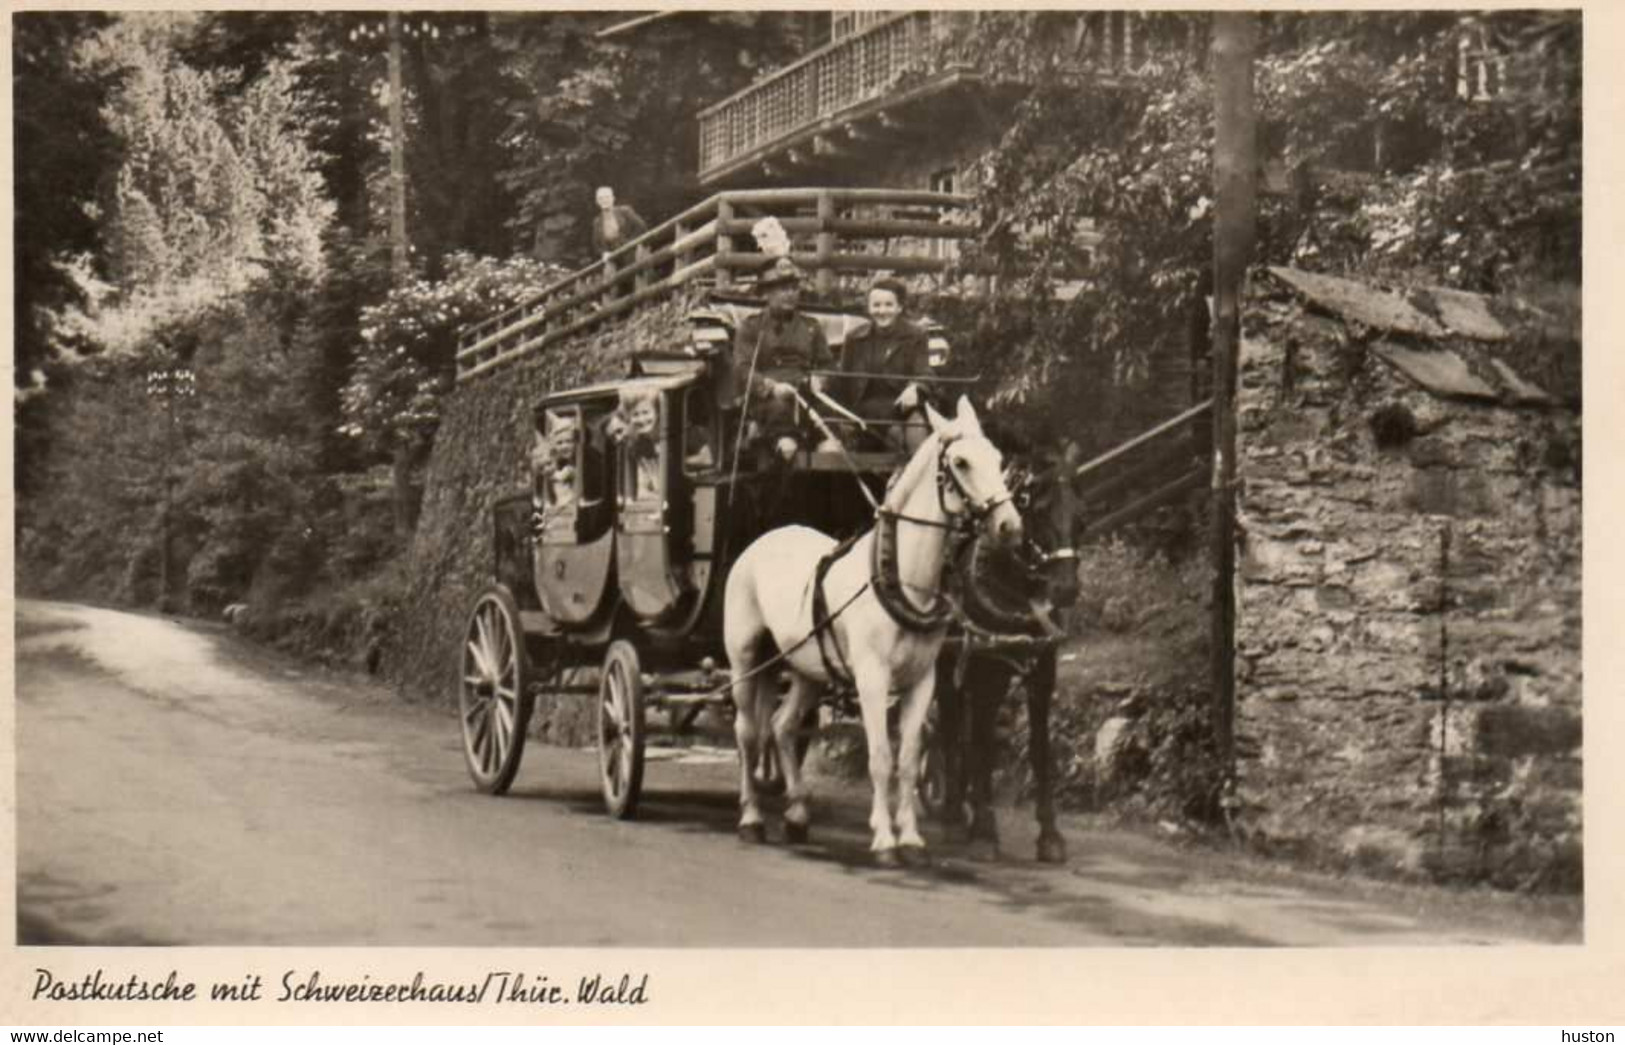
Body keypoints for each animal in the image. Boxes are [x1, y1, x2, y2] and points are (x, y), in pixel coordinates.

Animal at [721, 396, 1014, 864]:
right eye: (961, 462)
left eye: (998, 458)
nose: (1010, 526)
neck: (901, 580)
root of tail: (764, 540)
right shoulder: (872, 679)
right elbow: (880, 756)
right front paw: (884, 840)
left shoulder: (921, 681)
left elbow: (908, 759)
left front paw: (910, 837)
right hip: (745, 659)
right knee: (748, 734)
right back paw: (750, 818)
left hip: (805, 668)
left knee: (782, 727)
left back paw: (797, 814)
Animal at [936, 438, 1085, 858]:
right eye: (1040, 511)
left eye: (1080, 517)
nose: (1065, 589)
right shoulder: (987, 672)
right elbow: (983, 743)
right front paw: (985, 829)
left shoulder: (1042, 673)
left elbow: (1039, 748)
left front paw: (1049, 833)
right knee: (951, 727)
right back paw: (952, 812)